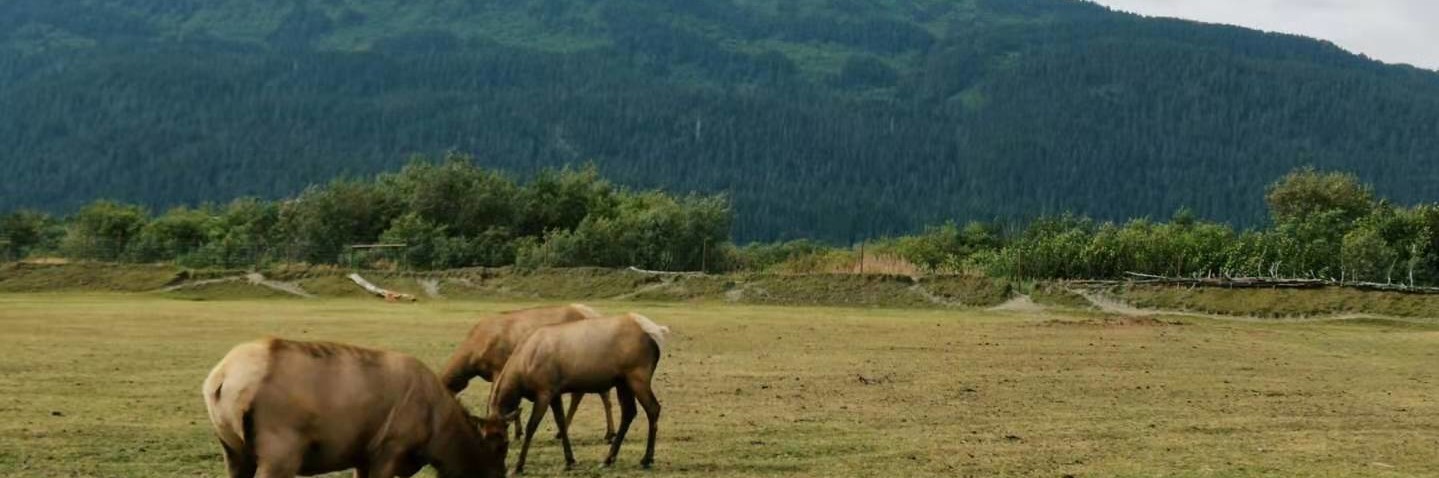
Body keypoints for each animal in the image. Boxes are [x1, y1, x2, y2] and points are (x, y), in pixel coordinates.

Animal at [202, 338, 512, 478]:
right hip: (280, 453)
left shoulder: (362, 456)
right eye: (500, 447)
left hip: (233, 452)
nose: (501, 473)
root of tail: (220, 380)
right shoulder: (389, 450)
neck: (438, 432)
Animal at [440, 306, 615, 440]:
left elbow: (496, 401)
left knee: (599, 395)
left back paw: (606, 433)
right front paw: (518, 431)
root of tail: (594, 313)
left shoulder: (499, 367)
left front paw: (516, 432)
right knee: (584, 394)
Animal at [486, 312, 670, 472]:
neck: (521, 370)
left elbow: (532, 426)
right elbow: (561, 422)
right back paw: (608, 459)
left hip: (638, 377)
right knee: (629, 412)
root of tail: (656, 333)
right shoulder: (555, 393)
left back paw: (646, 459)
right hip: (623, 382)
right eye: (485, 438)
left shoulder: (544, 391)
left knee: (653, 408)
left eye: (504, 441)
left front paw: (519, 465)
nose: (497, 467)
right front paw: (570, 460)